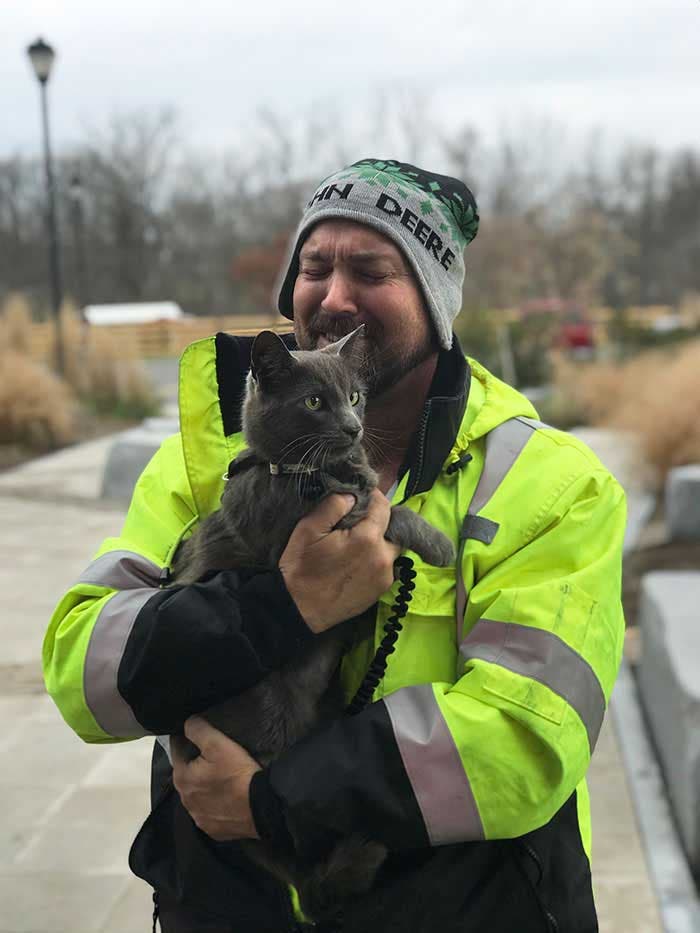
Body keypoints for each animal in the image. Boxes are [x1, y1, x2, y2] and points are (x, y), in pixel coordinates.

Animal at [169, 324, 454, 920]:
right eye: (315, 402)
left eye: (355, 396)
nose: (353, 426)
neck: (311, 470)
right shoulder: (307, 529)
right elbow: (388, 509)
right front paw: (439, 543)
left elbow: (377, 499)